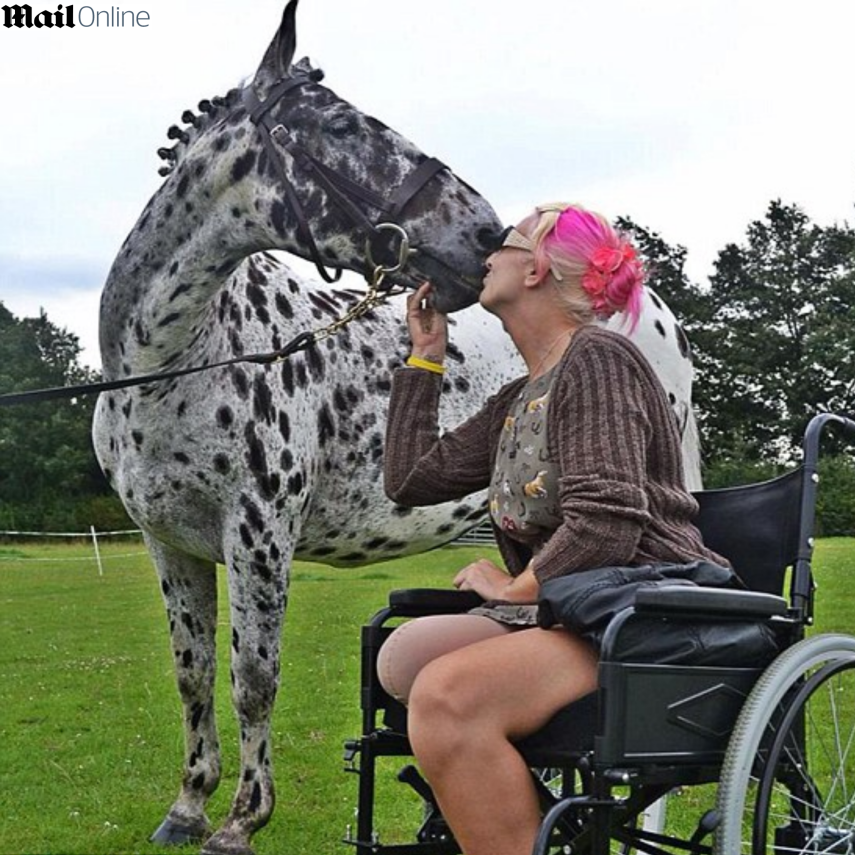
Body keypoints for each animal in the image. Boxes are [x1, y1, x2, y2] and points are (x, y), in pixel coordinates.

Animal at [90, 3, 700, 852]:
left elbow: (254, 677)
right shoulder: (168, 541)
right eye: (342, 124)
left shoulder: (258, 532)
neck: (179, 359)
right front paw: (188, 805)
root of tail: (654, 313)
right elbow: (195, 672)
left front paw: (242, 818)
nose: (484, 234)